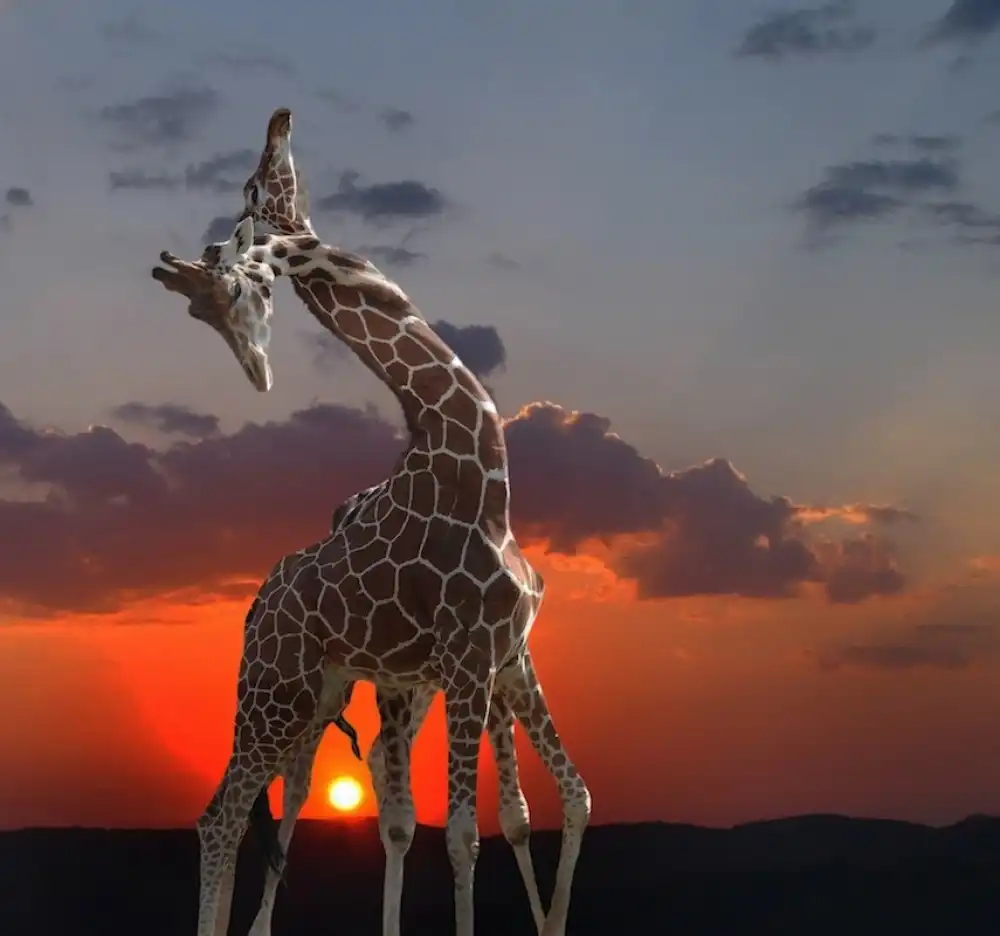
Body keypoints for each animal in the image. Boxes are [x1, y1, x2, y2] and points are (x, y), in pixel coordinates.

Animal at [235, 107, 552, 936]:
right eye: (254, 181)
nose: (279, 119)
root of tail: (257, 600)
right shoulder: (470, 656)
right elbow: (464, 834)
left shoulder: (481, 660)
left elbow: (467, 824)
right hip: (310, 687)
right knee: (290, 792)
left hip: (347, 687)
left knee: (332, 786)